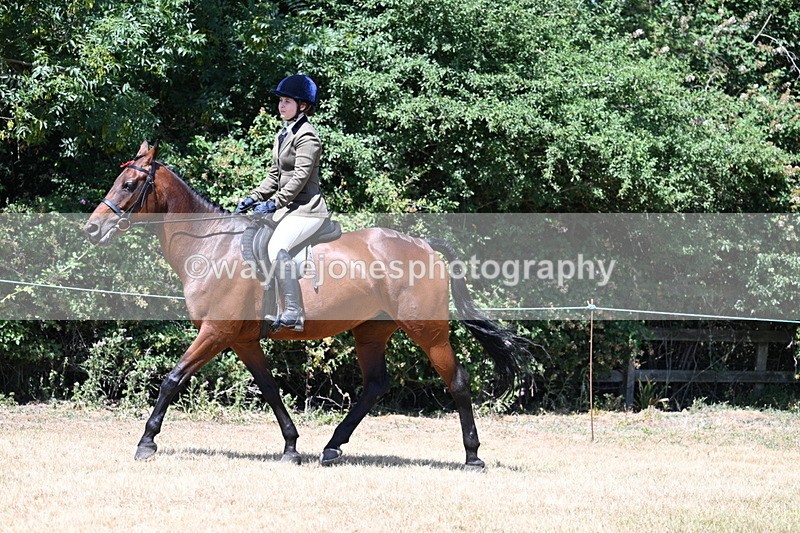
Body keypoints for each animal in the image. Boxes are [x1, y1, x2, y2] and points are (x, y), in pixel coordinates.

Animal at [83, 141, 533, 470]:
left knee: (457, 380)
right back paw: (331, 447)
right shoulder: (242, 339)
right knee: (374, 385)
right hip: (372, 331)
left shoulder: (216, 331)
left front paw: (146, 442)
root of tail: (423, 245)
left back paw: (472, 457)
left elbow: (173, 380)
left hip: (428, 330)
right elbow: (269, 388)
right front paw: (291, 447)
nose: (92, 229)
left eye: (128, 185)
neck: (212, 245)